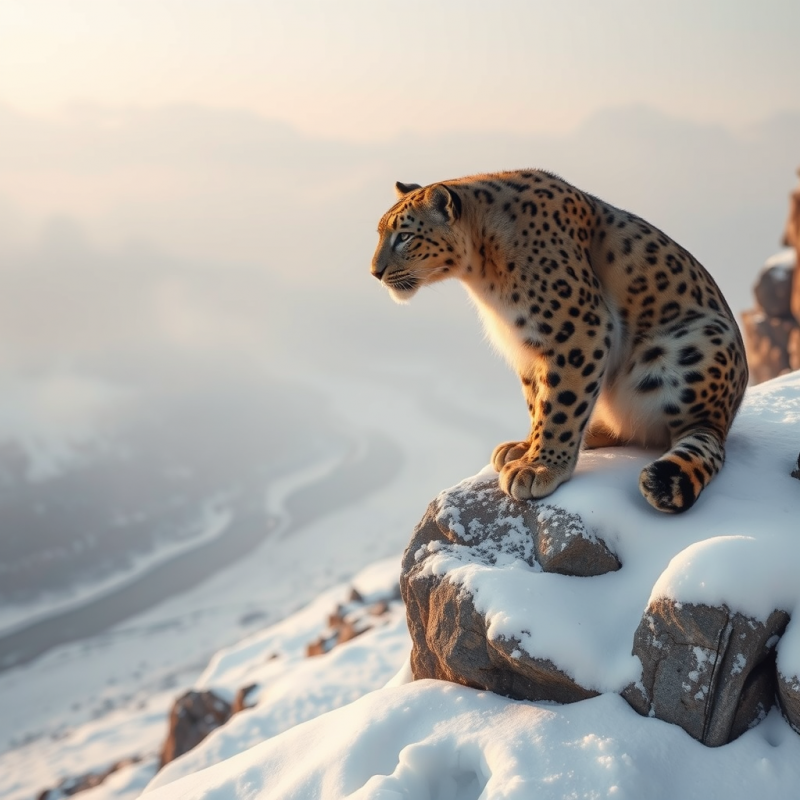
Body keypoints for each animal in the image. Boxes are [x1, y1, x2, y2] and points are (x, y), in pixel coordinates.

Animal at [370, 170, 748, 513]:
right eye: (379, 232)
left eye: (404, 236)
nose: (374, 271)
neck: (485, 280)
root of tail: (724, 417)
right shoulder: (527, 349)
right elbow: (538, 401)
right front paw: (527, 448)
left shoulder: (576, 330)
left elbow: (562, 402)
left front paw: (539, 467)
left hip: (690, 348)